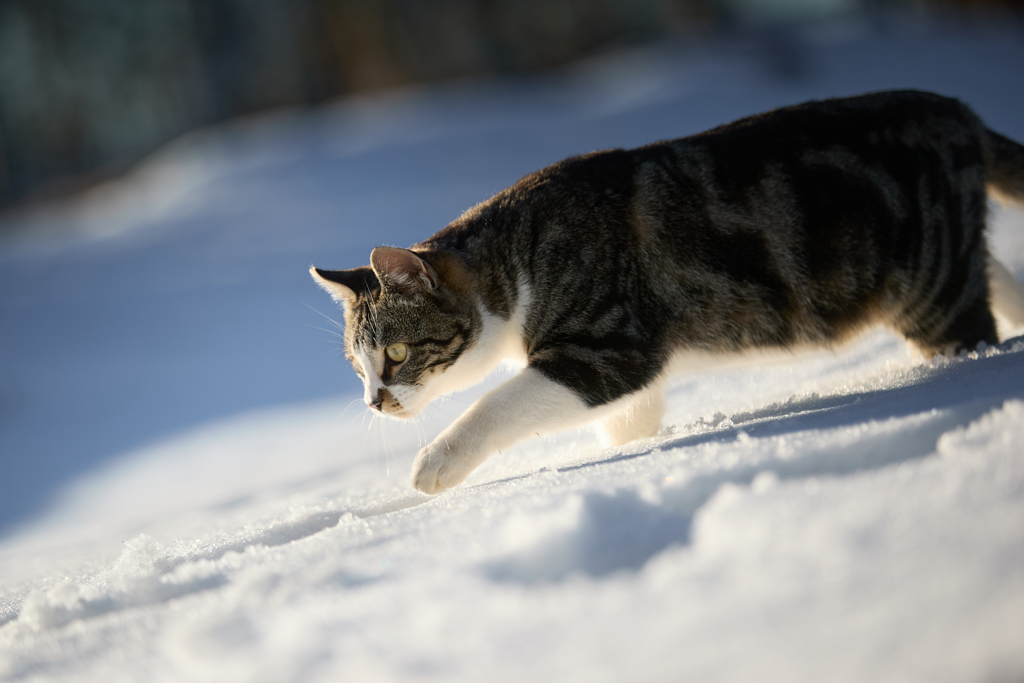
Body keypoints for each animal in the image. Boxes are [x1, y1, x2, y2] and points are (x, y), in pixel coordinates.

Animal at [307, 92, 1024, 497]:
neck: (518, 263)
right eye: (357, 366)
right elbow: (629, 421)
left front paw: (435, 464)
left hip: (932, 288)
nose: (373, 401)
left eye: (397, 353)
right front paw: (630, 451)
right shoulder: (622, 368)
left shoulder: (608, 346)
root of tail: (955, 112)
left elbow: (503, 401)